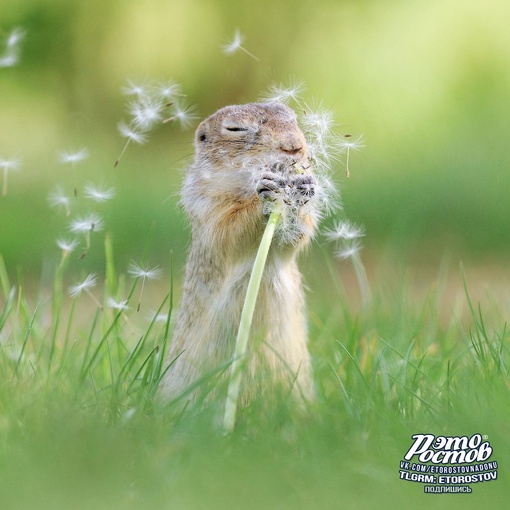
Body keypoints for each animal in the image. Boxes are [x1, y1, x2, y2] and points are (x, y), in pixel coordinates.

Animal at [162, 101, 322, 406]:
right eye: (235, 129)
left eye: (293, 119)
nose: (294, 146)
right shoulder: (206, 205)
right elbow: (230, 228)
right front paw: (266, 191)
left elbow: (297, 235)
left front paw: (304, 186)